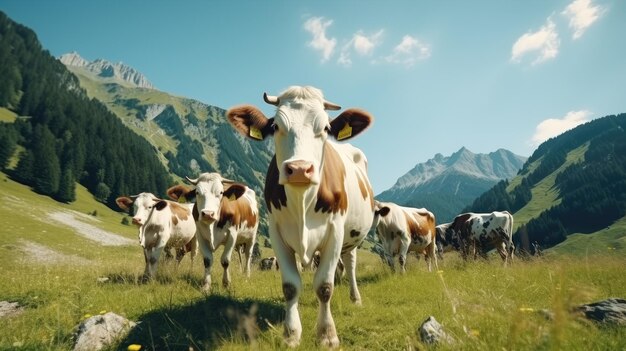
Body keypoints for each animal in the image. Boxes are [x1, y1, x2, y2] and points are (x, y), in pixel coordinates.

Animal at [229, 86, 376, 348]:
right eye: (276, 126)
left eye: (326, 128)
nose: (299, 169)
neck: (302, 201)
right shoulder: (276, 232)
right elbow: (290, 286)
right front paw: (291, 334)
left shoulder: (335, 231)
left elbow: (325, 287)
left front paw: (327, 335)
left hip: (351, 236)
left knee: (349, 263)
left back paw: (355, 297)